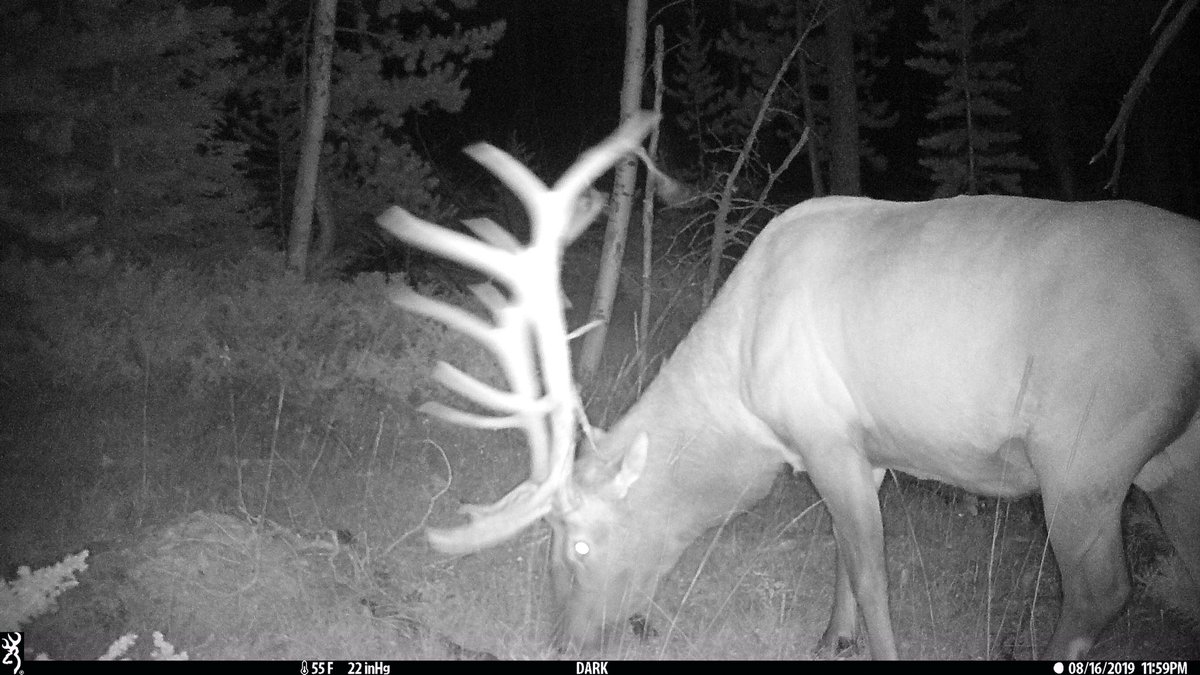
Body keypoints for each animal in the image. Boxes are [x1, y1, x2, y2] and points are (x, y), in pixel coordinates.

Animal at [378, 112, 1200, 660]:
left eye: (576, 546)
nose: (560, 640)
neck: (743, 406)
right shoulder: (864, 448)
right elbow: (842, 554)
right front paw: (829, 637)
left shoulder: (826, 433)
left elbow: (871, 573)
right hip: (1172, 457)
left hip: (1086, 450)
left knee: (1100, 589)